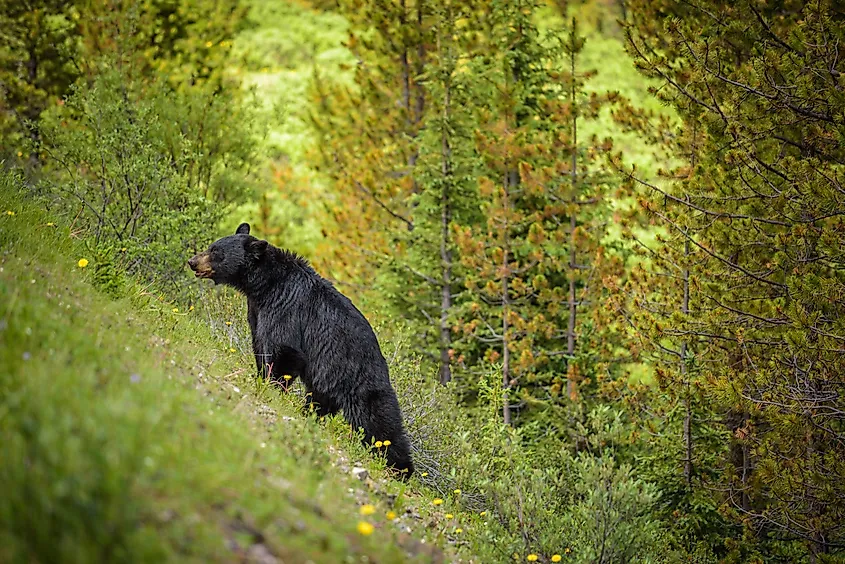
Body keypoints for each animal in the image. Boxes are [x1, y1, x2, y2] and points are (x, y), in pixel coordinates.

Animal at [190, 223, 416, 478]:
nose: (192, 262)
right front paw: (260, 377)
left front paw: (272, 387)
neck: (264, 285)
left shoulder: (285, 307)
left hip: (361, 382)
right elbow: (260, 345)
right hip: (328, 379)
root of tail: (384, 366)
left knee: (381, 424)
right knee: (321, 401)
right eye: (212, 246)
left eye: (216, 252)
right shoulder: (257, 311)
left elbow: (285, 350)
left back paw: (401, 468)